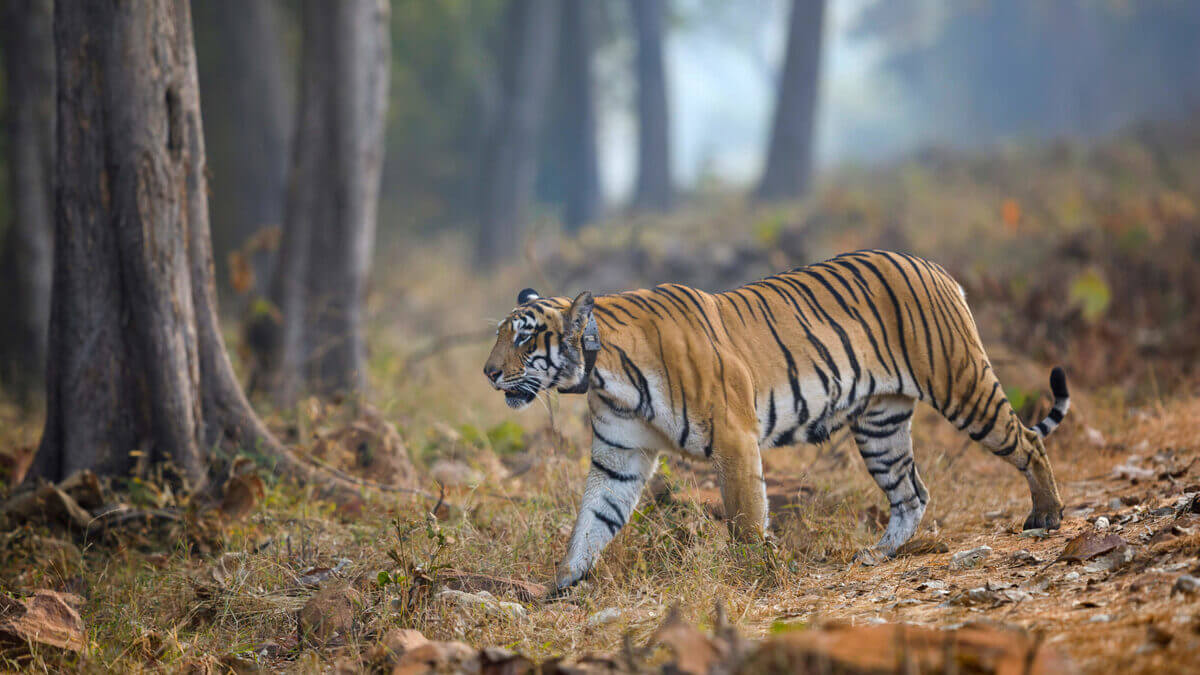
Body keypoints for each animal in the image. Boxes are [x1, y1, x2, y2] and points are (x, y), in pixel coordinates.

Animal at [483, 249, 1070, 592]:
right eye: (500, 335)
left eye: (524, 338)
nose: (488, 373)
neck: (603, 373)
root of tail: (935, 266)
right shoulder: (619, 457)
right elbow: (592, 520)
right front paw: (563, 582)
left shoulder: (734, 437)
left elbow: (745, 516)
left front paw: (752, 573)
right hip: (880, 424)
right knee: (912, 492)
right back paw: (876, 555)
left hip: (961, 383)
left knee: (1028, 442)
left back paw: (1046, 515)